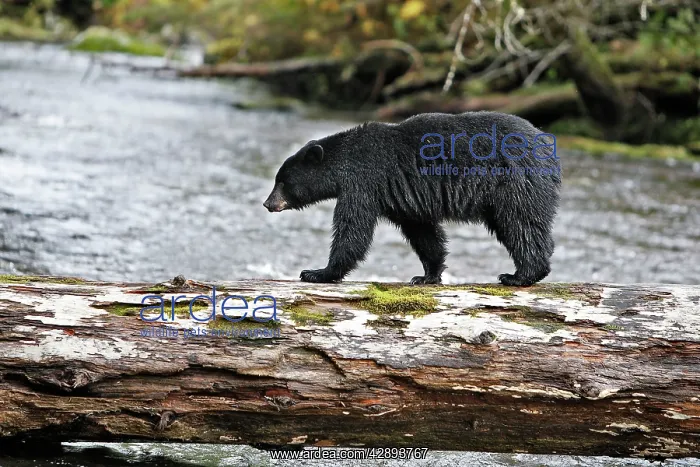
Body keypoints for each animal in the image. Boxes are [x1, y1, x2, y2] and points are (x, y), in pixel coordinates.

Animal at [263, 111, 561, 286]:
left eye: (282, 181)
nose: (267, 203)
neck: (345, 162)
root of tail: (548, 147)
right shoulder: (403, 196)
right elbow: (423, 232)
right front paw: (427, 275)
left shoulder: (363, 183)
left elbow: (353, 230)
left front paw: (317, 272)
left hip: (514, 183)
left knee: (522, 224)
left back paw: (519, 276)